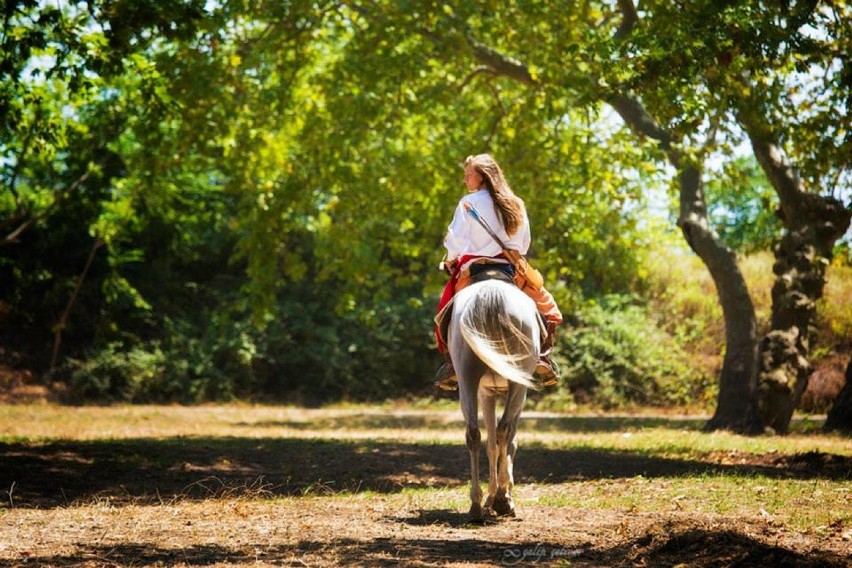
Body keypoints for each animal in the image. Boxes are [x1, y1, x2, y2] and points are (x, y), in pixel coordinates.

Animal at [446, 278, 540, 520]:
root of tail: (491, 291)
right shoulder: (512, 394)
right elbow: (507, 441)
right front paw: (502, 494)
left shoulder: (486, 393)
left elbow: (490, 444)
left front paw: (492, 496)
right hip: (517, 383)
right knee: (504, 430)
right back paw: (501, 499)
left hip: (467, 379)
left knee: (473, 434)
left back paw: (476, 506)